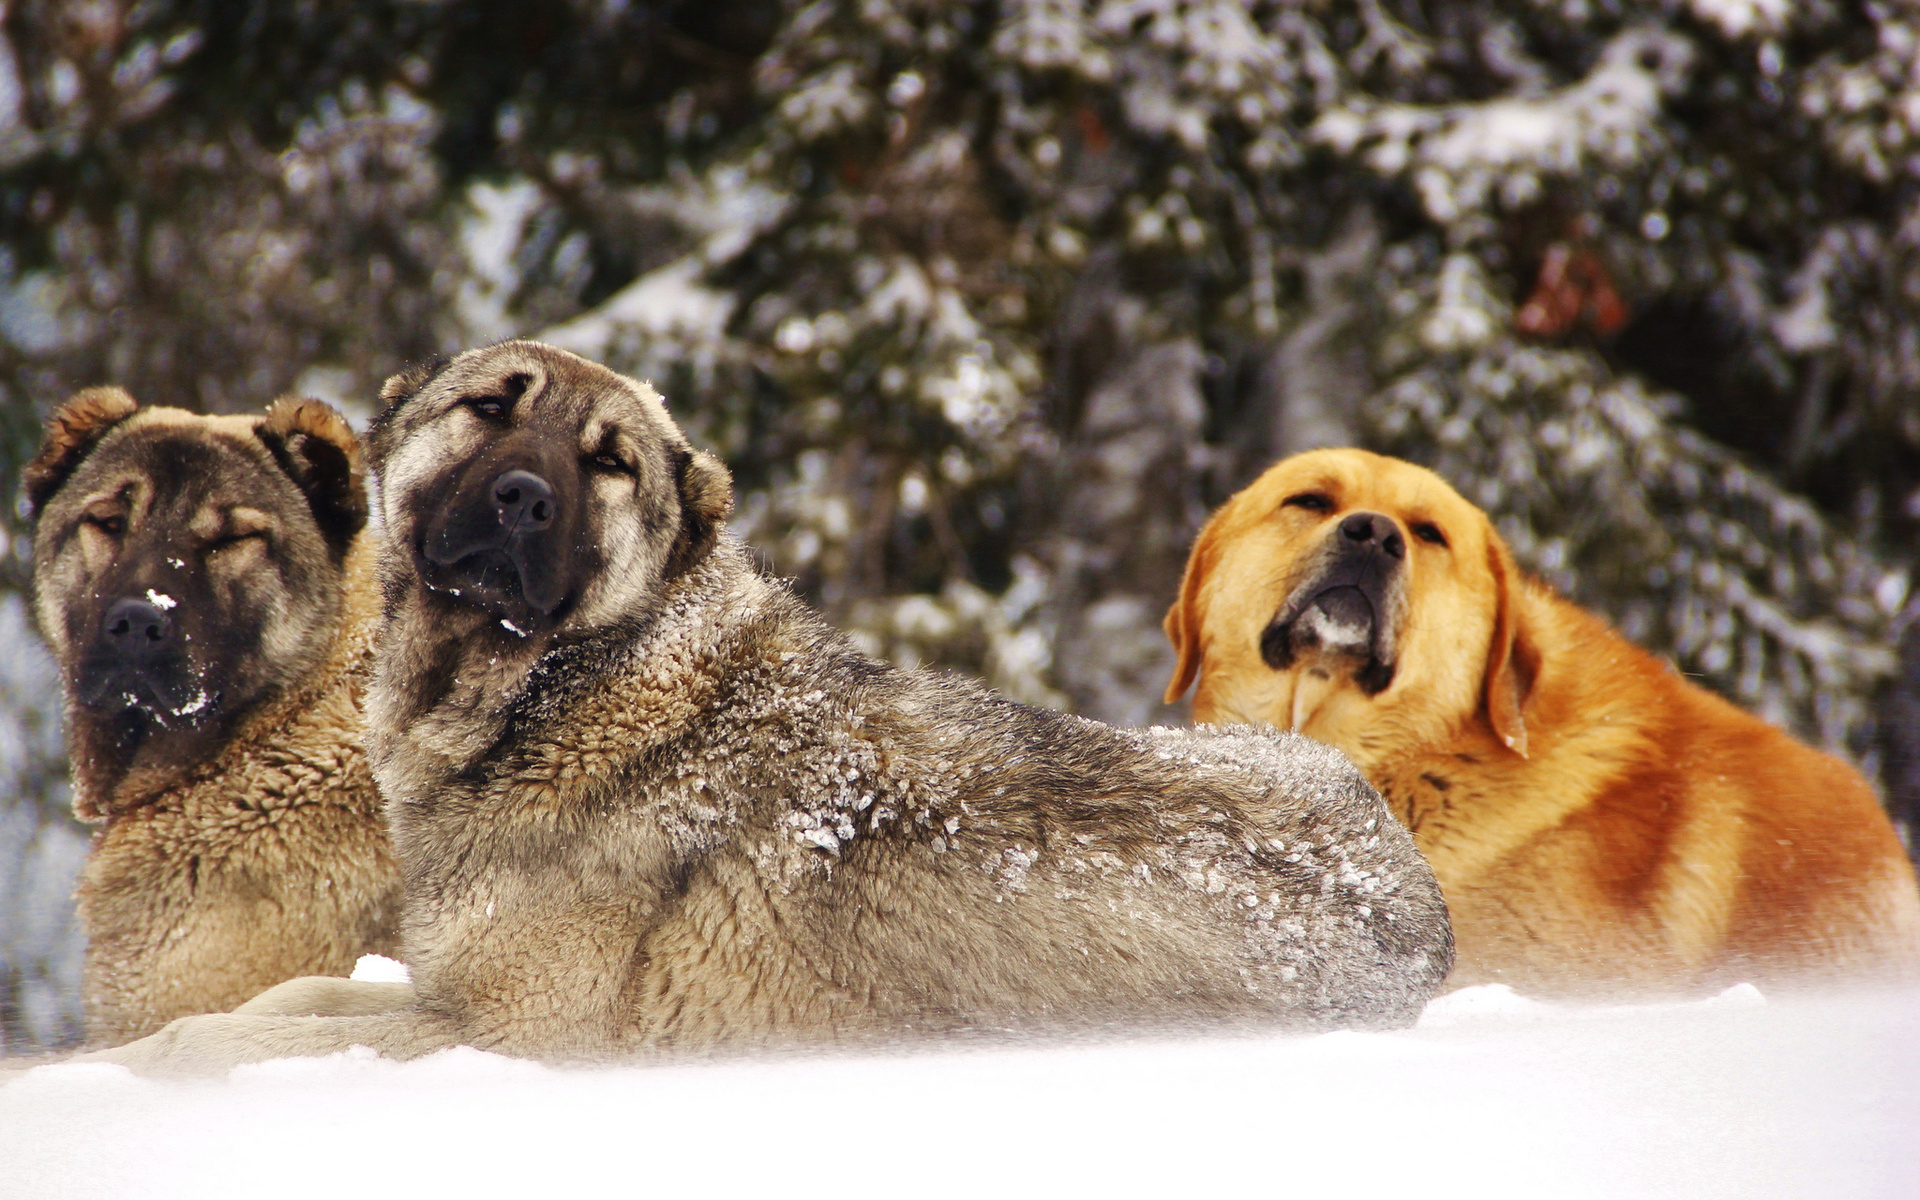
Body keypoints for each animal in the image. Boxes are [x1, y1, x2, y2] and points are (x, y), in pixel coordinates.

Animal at [74, 341, 1451, 1075]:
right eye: (489, 406)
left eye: (610, 464)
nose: (523, 497)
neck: (554, 692)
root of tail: (1418, 897)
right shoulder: (438, 994)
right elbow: (275, 1007)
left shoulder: (515, 1034)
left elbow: (248, 1040)